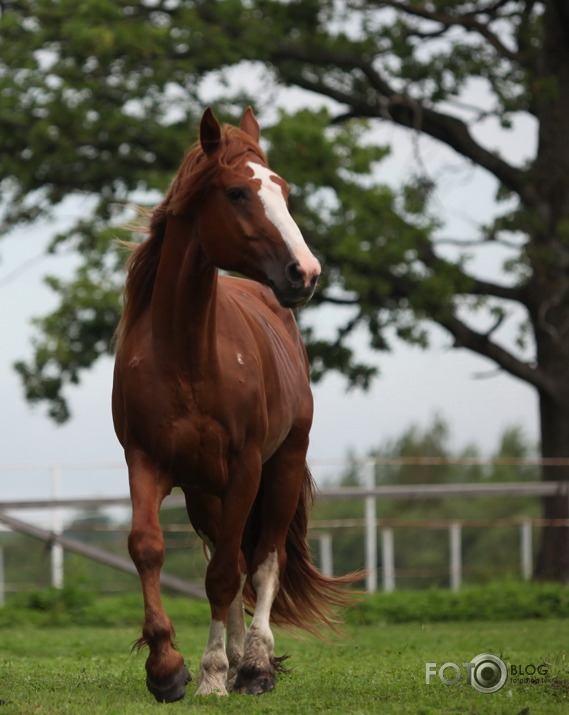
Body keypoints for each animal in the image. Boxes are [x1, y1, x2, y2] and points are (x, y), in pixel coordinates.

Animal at [112, 109, 356, 704]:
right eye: (237, 192)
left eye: (283, 191)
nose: (305, 272)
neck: (186, 357)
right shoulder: (145, 462)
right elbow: (148, 547)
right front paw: (168, 668)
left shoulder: (246, 466)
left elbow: (226, 575)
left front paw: (218, 673)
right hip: (207, 492)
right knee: (239, 558)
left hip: (281, 467)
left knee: (265, 560)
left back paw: (255, 665)